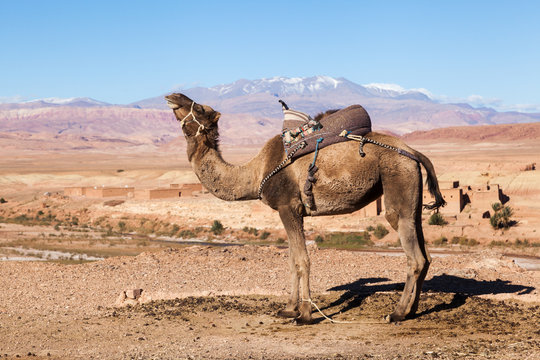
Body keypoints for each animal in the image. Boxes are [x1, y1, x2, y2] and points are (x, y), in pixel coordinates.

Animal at [167, 93, 446, 324]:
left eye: (199, 108)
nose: (173, 96)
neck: (255, 173)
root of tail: (414, 152)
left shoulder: (287, 206)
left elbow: (302, 260)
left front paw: (304, 315)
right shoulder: (291, 211)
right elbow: (292, 260)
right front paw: (288, 309)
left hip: (397, 181)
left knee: (414, 255)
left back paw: (397, 313)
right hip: (413, 195)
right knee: (426, 255)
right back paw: (413, 310)